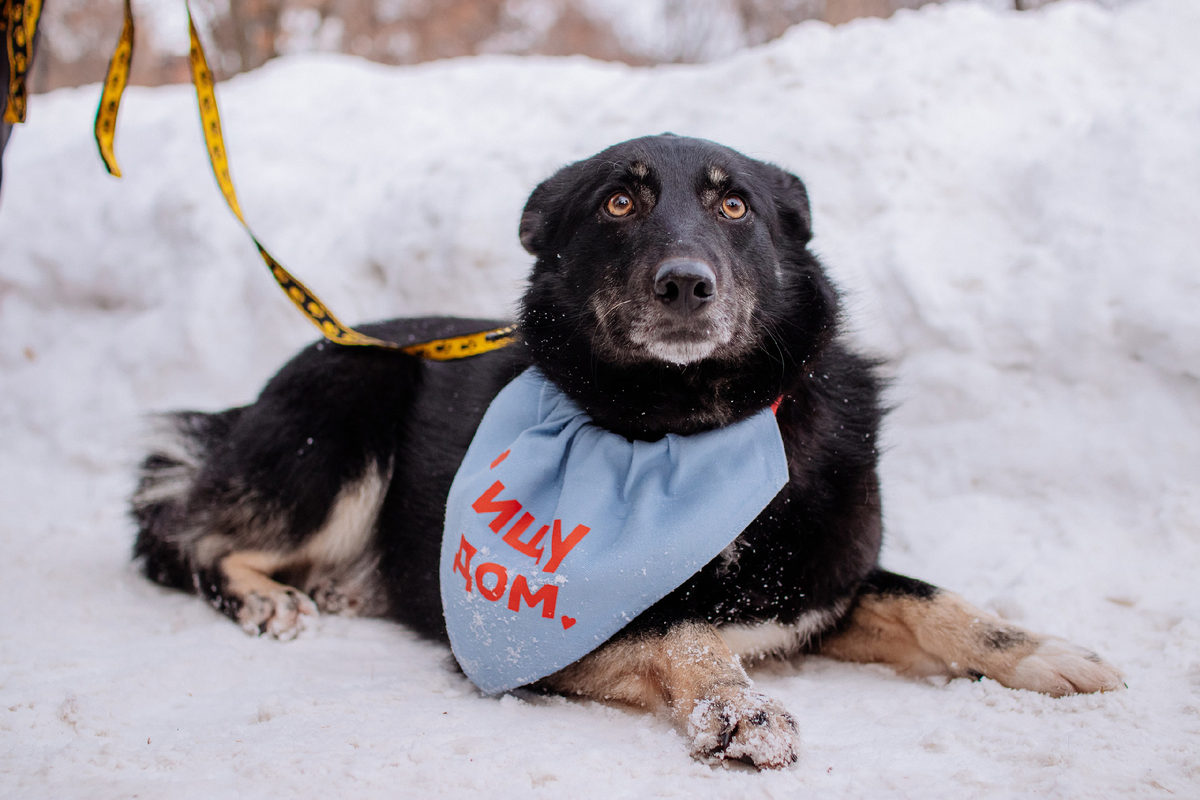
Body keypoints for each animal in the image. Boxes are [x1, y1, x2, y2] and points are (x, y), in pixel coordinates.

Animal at [133, 136, 1123, 767]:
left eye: (735, 204)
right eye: (619, 200)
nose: (685, 283)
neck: (692, 432)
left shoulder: (824, 582)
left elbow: (934, 602)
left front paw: (1043, 651)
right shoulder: (558, 633)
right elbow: (683, 628)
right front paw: (743, 706)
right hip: (341, 425)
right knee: (184, 533)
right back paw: (268, 599)